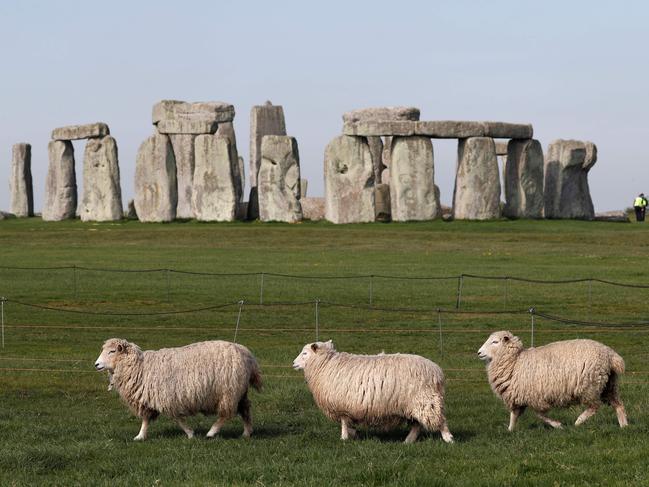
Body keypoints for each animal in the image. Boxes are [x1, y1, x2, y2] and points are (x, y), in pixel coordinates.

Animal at [93, 340, 260, 442]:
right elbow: (146, 419)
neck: (139, 367)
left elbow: (178, 419)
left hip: (228, 392)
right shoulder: (148, 399)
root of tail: (247, 354)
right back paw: (247, 433)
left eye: (112, 351)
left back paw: (211, 432)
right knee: (245, 409)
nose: (96, 364)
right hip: (240, 392)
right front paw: (140, 436)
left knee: (225, 415)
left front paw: (190, 433)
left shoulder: (168, 398)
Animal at [292, 342, 454, 444]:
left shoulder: (342, 405)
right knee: (417, 425)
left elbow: (344, 423)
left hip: (426, 400)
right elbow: (349, 423)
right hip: (413, 404)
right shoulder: (348, 408)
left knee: (439, 420)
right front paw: (353, 434)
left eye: (305, 353)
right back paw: (407, 441)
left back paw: (448, 439)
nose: (293, 363)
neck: (326, 364)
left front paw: (344, 438)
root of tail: (437, 371)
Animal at [476, 332, 628, 430]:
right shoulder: (518, 397)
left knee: (594, 406)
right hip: (609, 385)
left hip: (589, 386)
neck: (515, 361)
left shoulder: (535, 397)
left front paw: (557, 425)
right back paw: (624, 426)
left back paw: (578, 421)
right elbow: (514, 416)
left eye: (495, 342)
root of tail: (610, 354)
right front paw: (510, 430)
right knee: (618, 405)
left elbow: (540, 415)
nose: (478, 352)